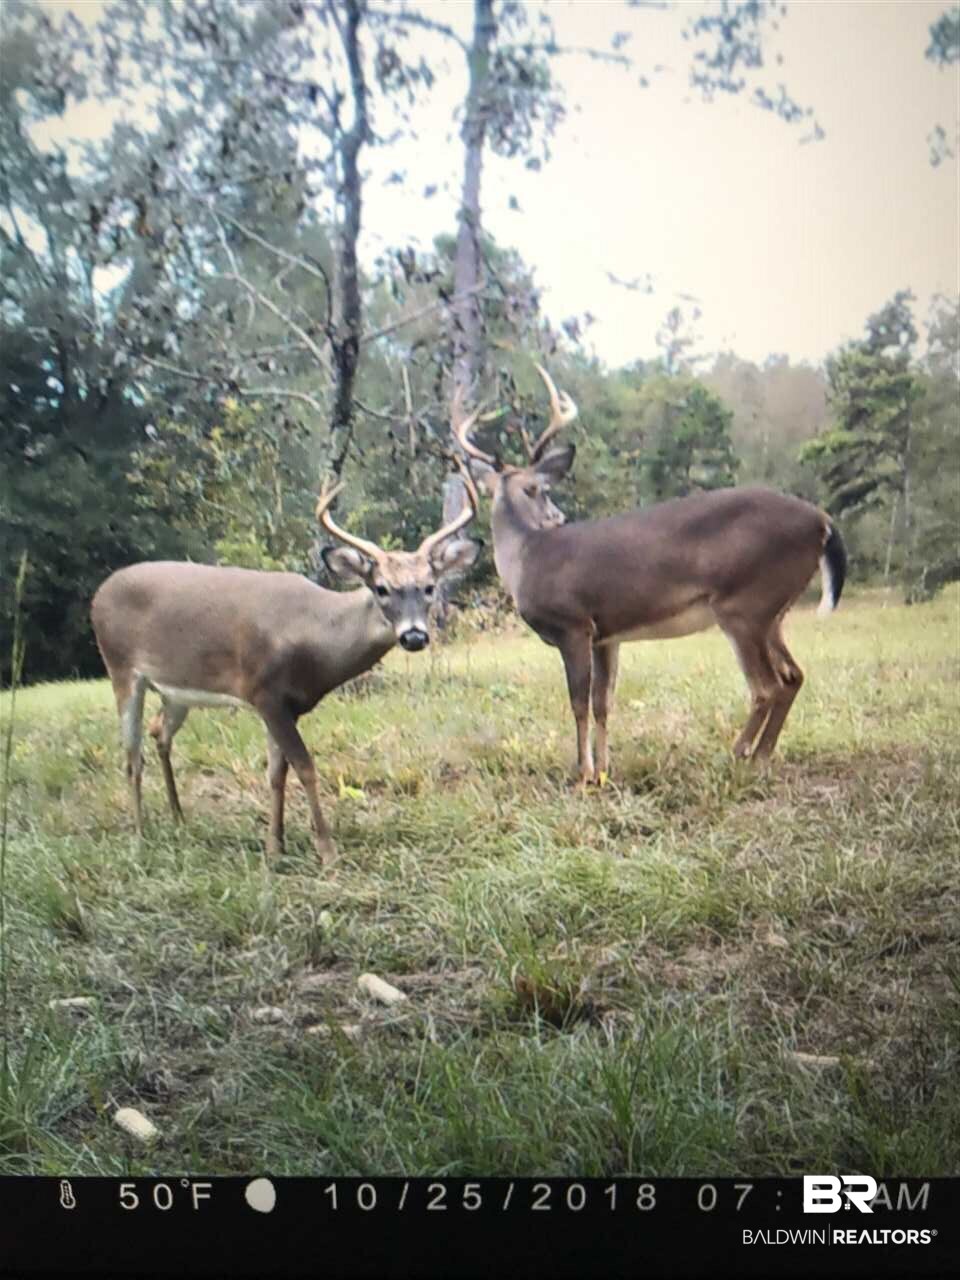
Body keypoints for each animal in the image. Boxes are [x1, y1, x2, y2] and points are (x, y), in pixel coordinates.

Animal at [91, 469, 479, 863]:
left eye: (429, 587)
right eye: (382, 588)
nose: (414, 636)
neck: (313, 634)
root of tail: (100, 592)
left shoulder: (286, 705)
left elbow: (277, 773)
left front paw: (275, 847)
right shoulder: (264, 691)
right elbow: (305, 767)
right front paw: (326, 851)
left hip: (177, 691)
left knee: (160, 733)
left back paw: (178, 818)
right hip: (121, 667)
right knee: (131, 755)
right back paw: (140, 837)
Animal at [455, 364, 847, 783]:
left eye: (539, 487)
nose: (558, 517)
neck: (525, 557)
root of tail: (823, 522)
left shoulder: (573, 625)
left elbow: (578, 703)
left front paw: (583, 775)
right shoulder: (605, 636)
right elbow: (603, 702)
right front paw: (604, 771)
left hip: (745, 604)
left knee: (767, 686)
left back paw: (737, 755)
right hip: (772, 611)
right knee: (793, 677)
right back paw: (761, 757)